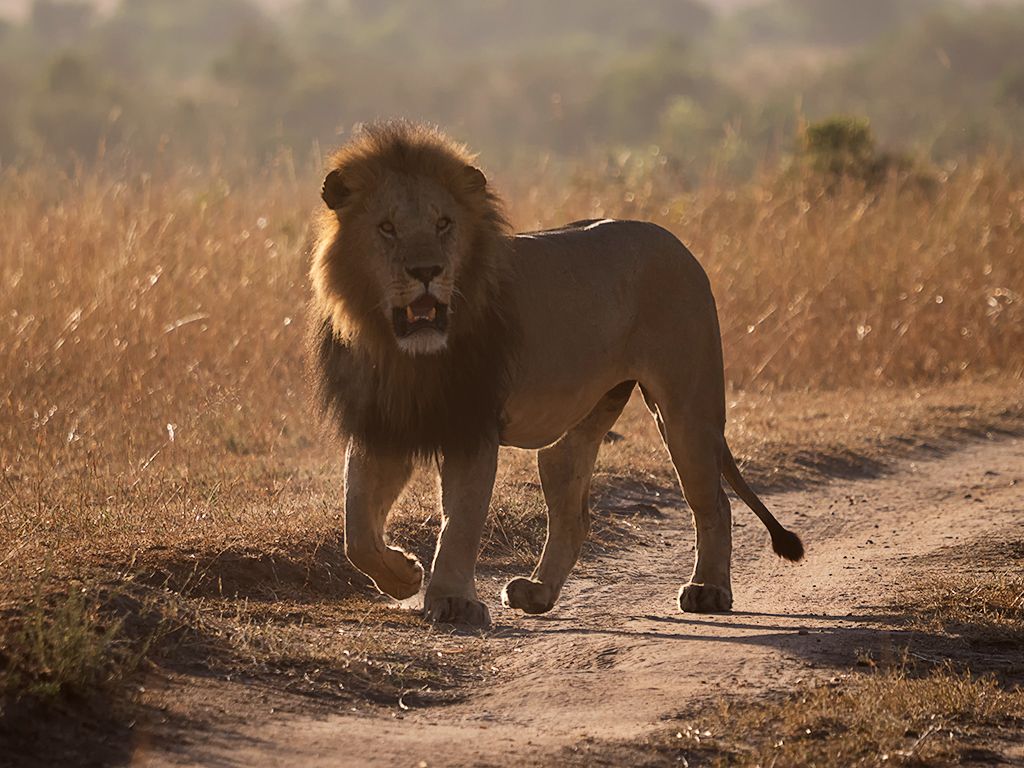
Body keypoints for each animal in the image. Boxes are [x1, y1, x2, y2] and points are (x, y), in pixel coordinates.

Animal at [307, 121, 803, 626]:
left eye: (443, 224)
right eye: (386, 228)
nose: (427, 270)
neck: (405, 353)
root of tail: (675, 242)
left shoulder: (473, 426)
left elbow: (461, 521)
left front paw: (453, 600)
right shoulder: (382, 423)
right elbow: (355, 532)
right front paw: (404, 575)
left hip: (687, 412)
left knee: (714, 502)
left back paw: (708, 589)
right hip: (574, 429)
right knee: (573, 512)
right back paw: (538, 591)